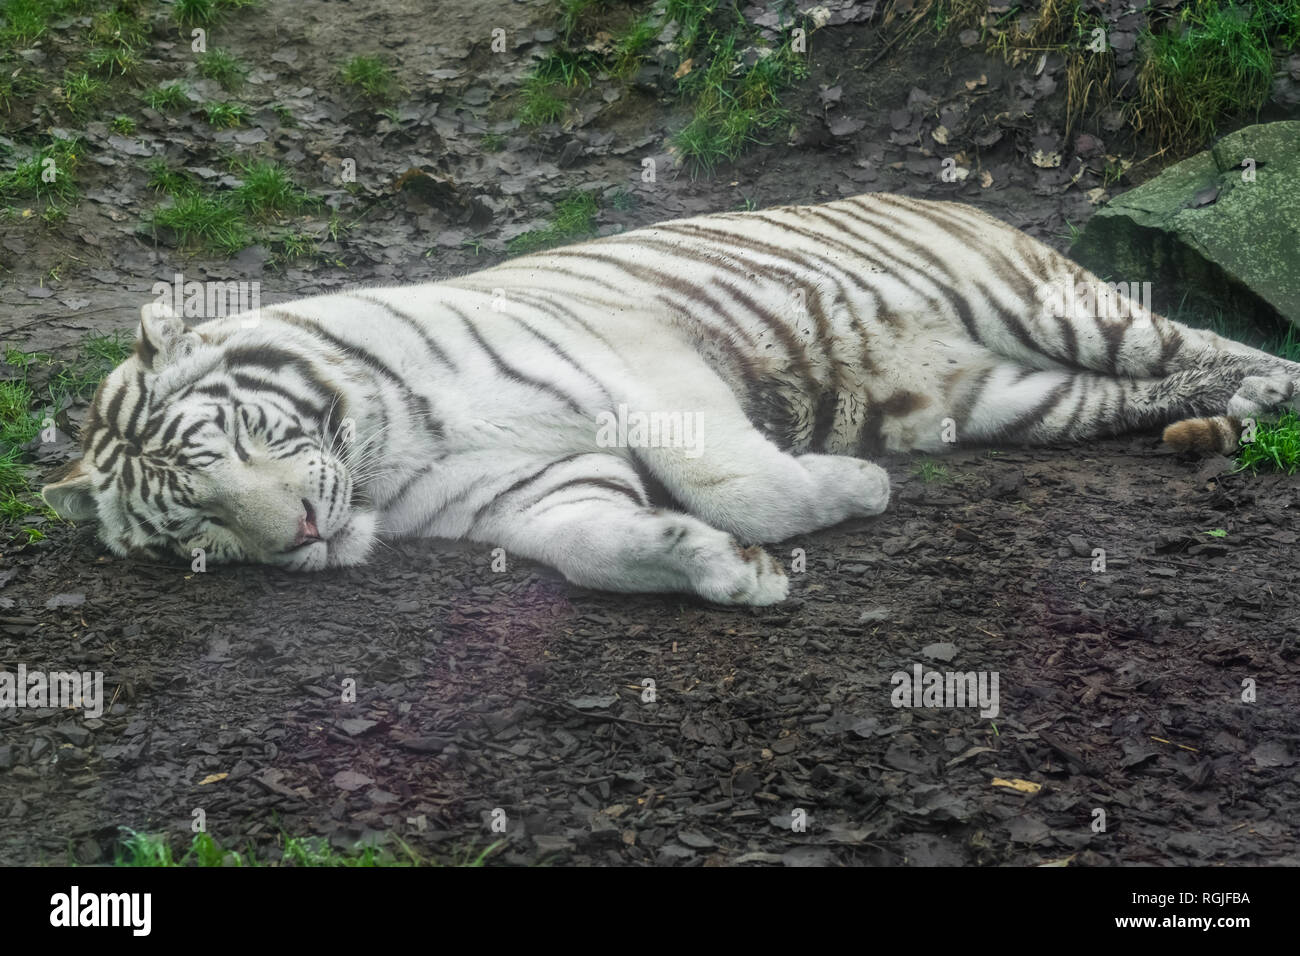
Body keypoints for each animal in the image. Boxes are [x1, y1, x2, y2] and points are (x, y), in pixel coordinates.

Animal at [40, 195, 1300, 606]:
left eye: (249, 439)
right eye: (197, 529)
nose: (301, 530)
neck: (384, 453)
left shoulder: (641, 366)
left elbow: (736, 477)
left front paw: (849, 486)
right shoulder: (536, 488)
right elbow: (599, 540)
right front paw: (720, 572)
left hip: (1050, 305)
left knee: (1189, 334)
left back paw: (1274, 384)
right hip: (1014, 394)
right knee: (1137, 388)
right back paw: (1220, 414)